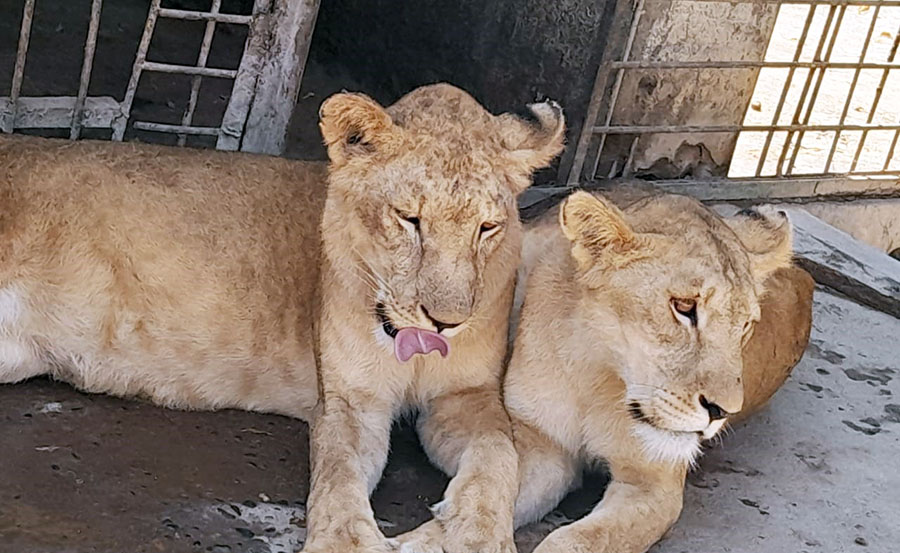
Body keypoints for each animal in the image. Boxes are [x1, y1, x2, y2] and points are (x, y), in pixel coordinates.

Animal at [0, 83, 565, 553]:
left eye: (487, 228)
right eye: (410, 220)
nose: (445, 324)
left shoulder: (467, 396)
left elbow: (498, 454)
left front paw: (475, 534)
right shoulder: (350, 399)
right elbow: (339, 473)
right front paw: (346, 543)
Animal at [504, 191, 811, 553]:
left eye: (746, 325)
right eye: (684, 307)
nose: (722, 411)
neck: (597, 375)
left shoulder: (653, 486)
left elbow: (576, 540)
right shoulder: (544, 444)